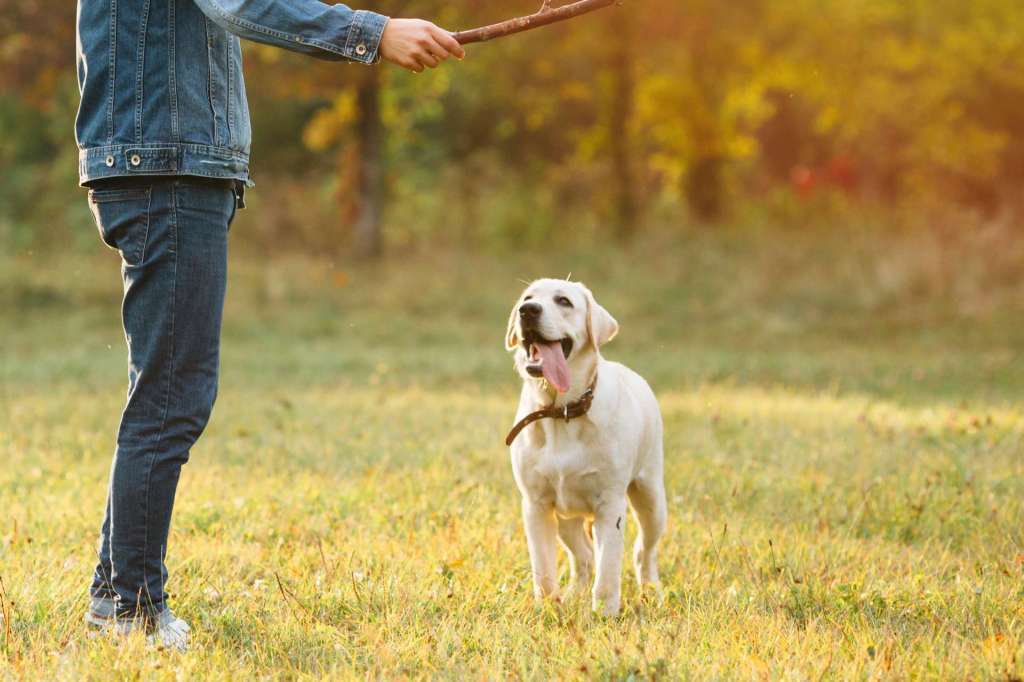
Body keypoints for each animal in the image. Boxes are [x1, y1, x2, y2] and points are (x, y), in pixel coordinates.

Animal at [501, 278, 663, 614]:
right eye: (527, 298)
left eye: (563, 301)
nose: (528, 311)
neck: (561, 411)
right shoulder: (535, 505)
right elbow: (543, 569)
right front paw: (548, 608)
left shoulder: (611, 504)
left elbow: (609, 568)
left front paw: (605, 612)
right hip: (566, 517)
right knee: (585, 557)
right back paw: (575, 593)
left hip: (652, 498)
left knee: (643, 551)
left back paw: (651, 591)